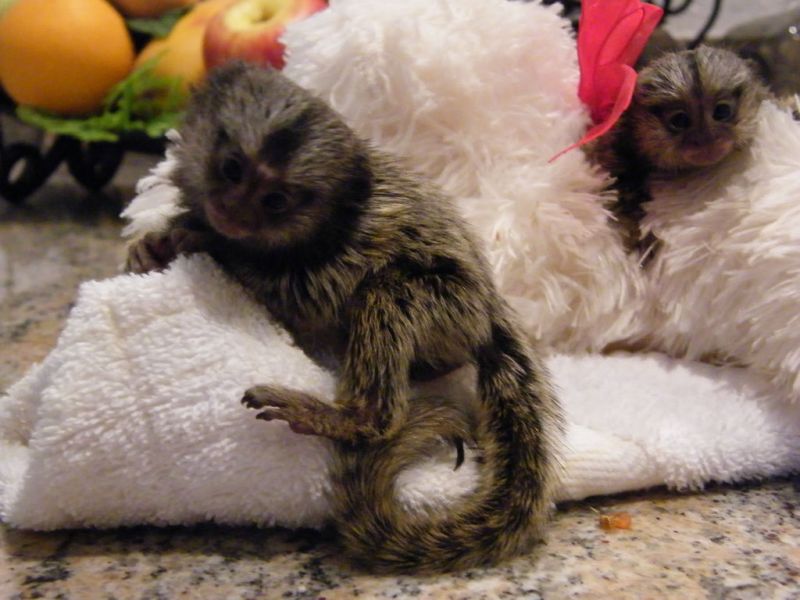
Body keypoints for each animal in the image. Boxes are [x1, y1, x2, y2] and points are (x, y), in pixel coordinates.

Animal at [126, 62, 563, 574]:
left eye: (275, 201)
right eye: (232, 168)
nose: (232, 213)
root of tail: (489, 311)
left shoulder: (343, 251)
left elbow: (306, 295)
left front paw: (204, 242)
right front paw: (150, 246)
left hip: (450, 304)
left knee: (385, 294)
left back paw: (348, 417)